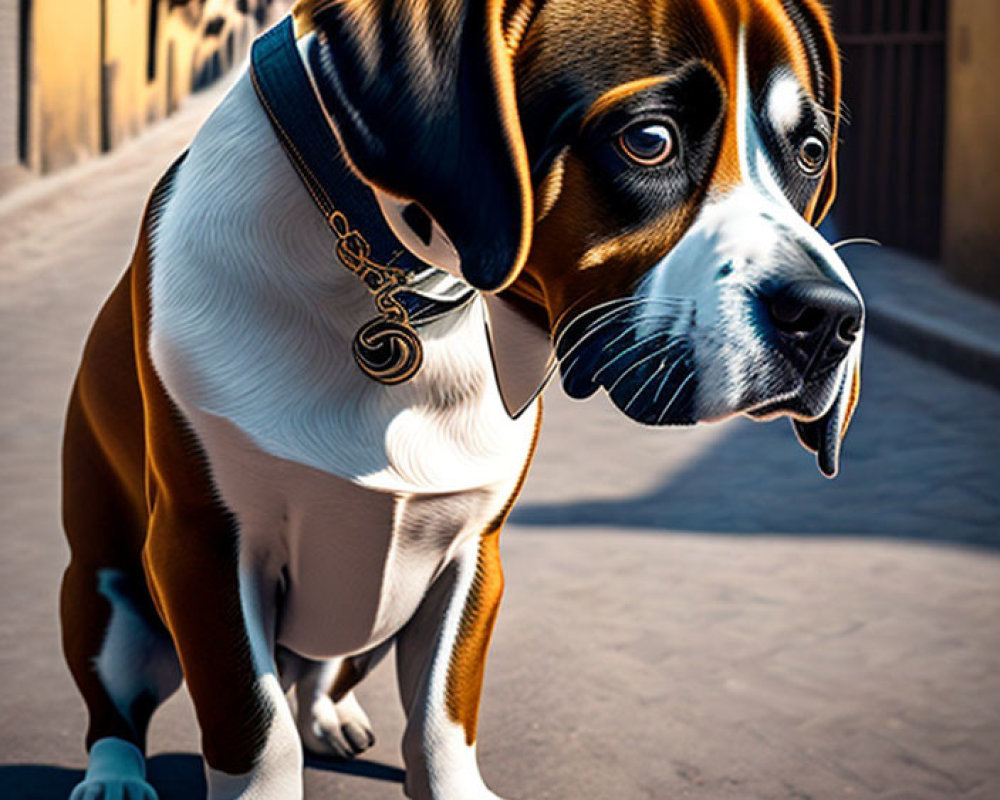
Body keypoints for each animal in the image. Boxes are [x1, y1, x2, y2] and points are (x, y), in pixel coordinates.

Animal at [62, 3, 864, 796]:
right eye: (648, 140)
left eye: (811, 153)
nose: (830, 319)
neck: (389, 280)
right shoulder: (203, 550)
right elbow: (257, 736)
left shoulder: (471, 552)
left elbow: (440, 721)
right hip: (111, 600)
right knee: (117, 709)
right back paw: (116, 777)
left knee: (315, 675)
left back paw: (327, 714)